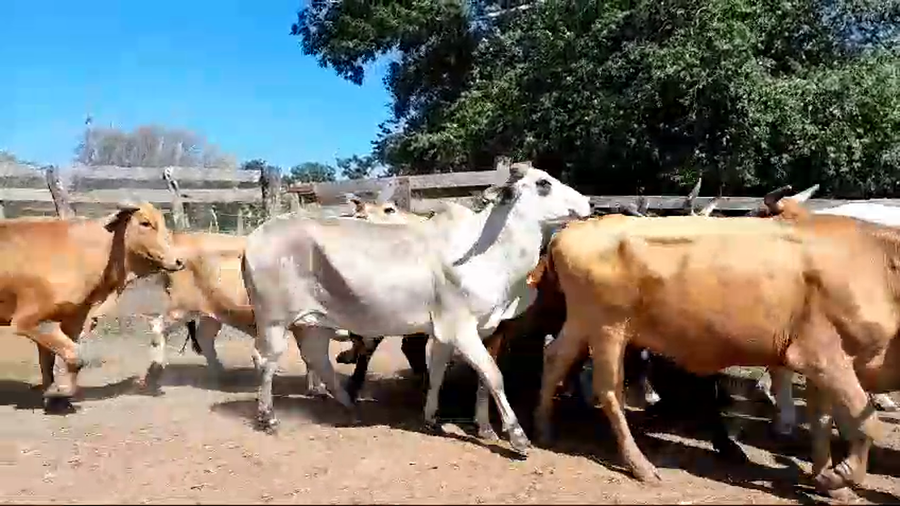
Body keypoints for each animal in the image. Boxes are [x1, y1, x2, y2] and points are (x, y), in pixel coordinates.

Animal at [0, 202, 184, 412]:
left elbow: (52, 361)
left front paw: (55, 397)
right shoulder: (28, 321)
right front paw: (59, 392)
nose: (179, 261)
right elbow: (76, 356)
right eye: (145, 223)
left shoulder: (71, 319)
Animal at [240, 162, 591, 456]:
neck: (491, 252)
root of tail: (255, 238)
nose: (588, 202)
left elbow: (441, 374)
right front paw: (518, 439)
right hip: (274, 320)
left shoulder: (465, 331)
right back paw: (269, 417)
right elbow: (493, 375)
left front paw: (432, 417)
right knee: (266, 360)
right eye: (543, 183)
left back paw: (350, 407)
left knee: (318, 359)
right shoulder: (460, 329)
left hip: (314, 323)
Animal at [533, 211, 900, 494]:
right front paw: (840, 477)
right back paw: (640, 465)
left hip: (583, 321)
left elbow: (824, 422)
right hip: (608, 327)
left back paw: (543, 427)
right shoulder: (820, 355)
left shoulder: (824, 365)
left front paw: (825, 478)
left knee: (554, 357)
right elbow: (868, 424)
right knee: (608, 390)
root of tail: (573, 229)